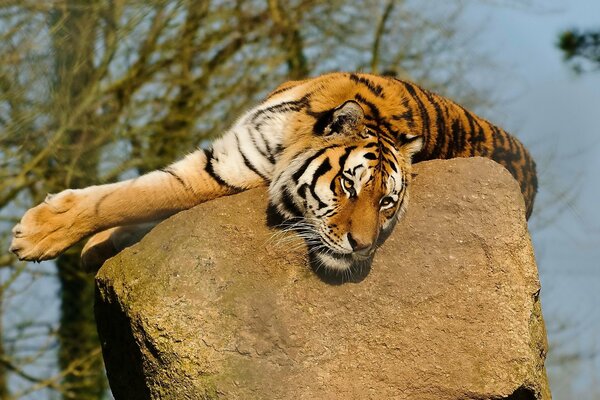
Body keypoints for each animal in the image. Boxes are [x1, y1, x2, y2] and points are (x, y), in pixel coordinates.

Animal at [8, 72, 536, 276]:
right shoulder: (227, 156)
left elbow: (138, 197)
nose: (361, 246)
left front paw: (36, 235)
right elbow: (133, 197)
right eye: (348, 185)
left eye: (386, 202)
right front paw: (85, 242)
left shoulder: (220, 174)